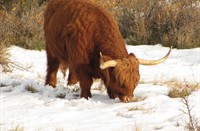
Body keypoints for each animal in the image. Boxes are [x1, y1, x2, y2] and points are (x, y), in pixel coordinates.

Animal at [44, 0, 172, 102]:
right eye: (121, 81)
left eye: (136, 81)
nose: (128, 98)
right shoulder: (80, 63)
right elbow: (86, 82)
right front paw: (86, 97)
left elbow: (108, 83)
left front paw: (112, 97)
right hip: (51, 49)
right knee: (52, 67)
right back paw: (51, 85)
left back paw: (71, 84)